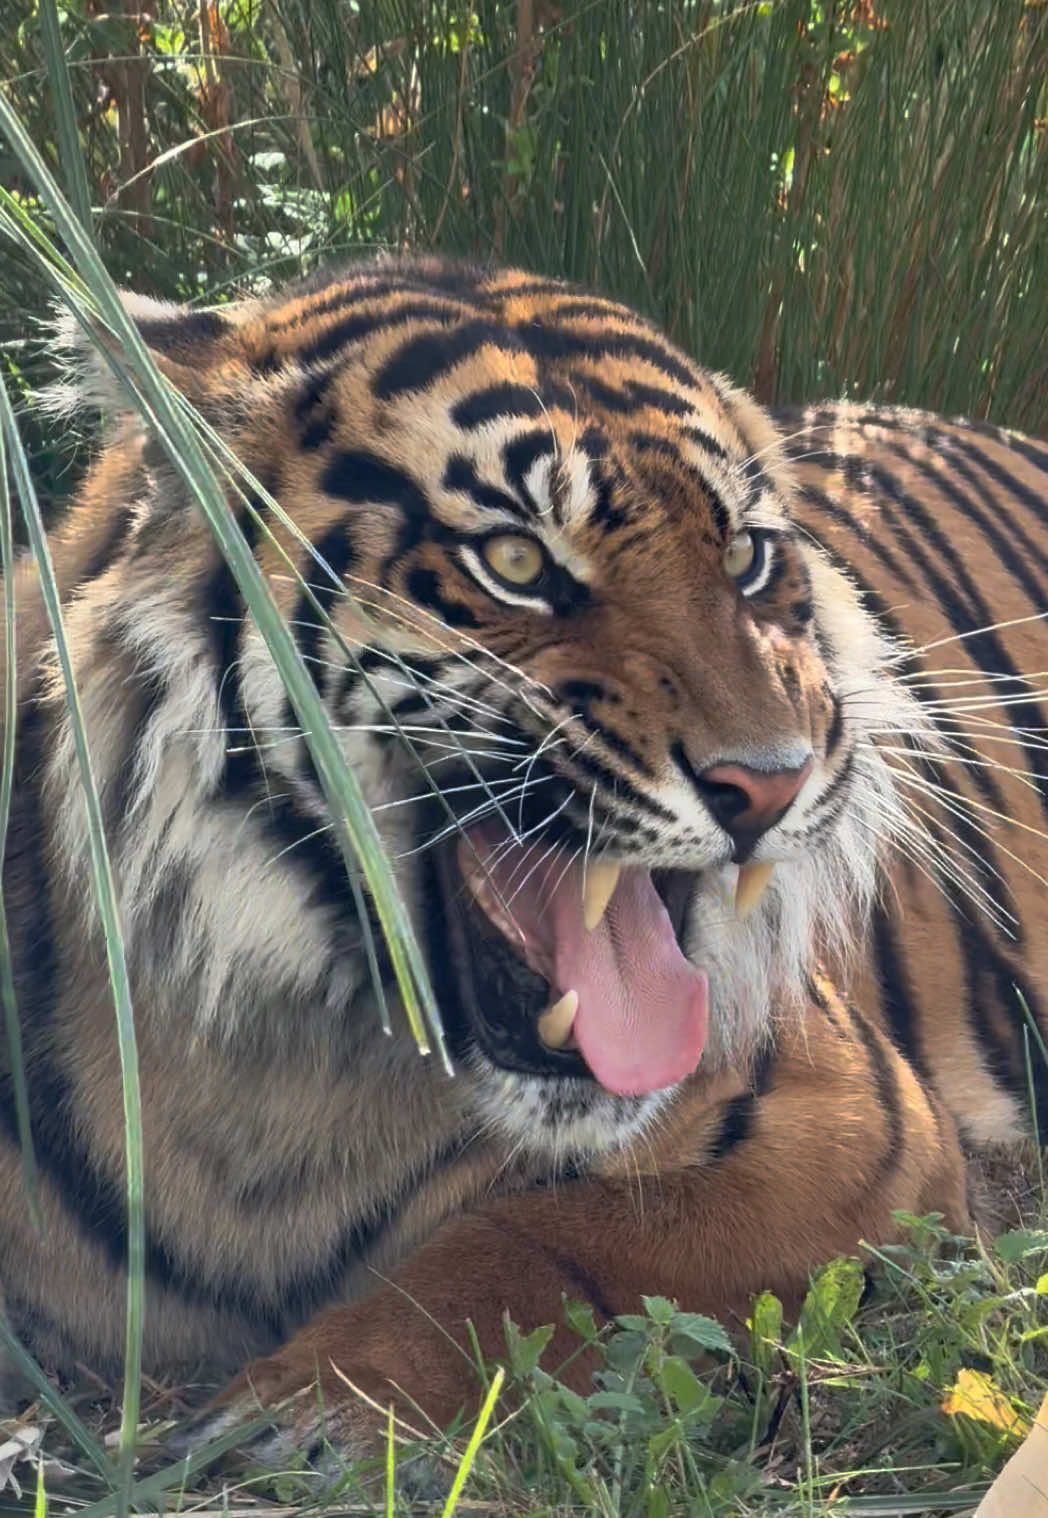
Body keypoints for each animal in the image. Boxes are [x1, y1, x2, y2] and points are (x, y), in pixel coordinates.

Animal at [2, 256, 1045, 1467]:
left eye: (745, 558)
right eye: (514, 561)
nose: (771, 782)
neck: (275, 1072)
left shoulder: (857, 1128)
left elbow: (551, 1244)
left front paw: (311, 1407)